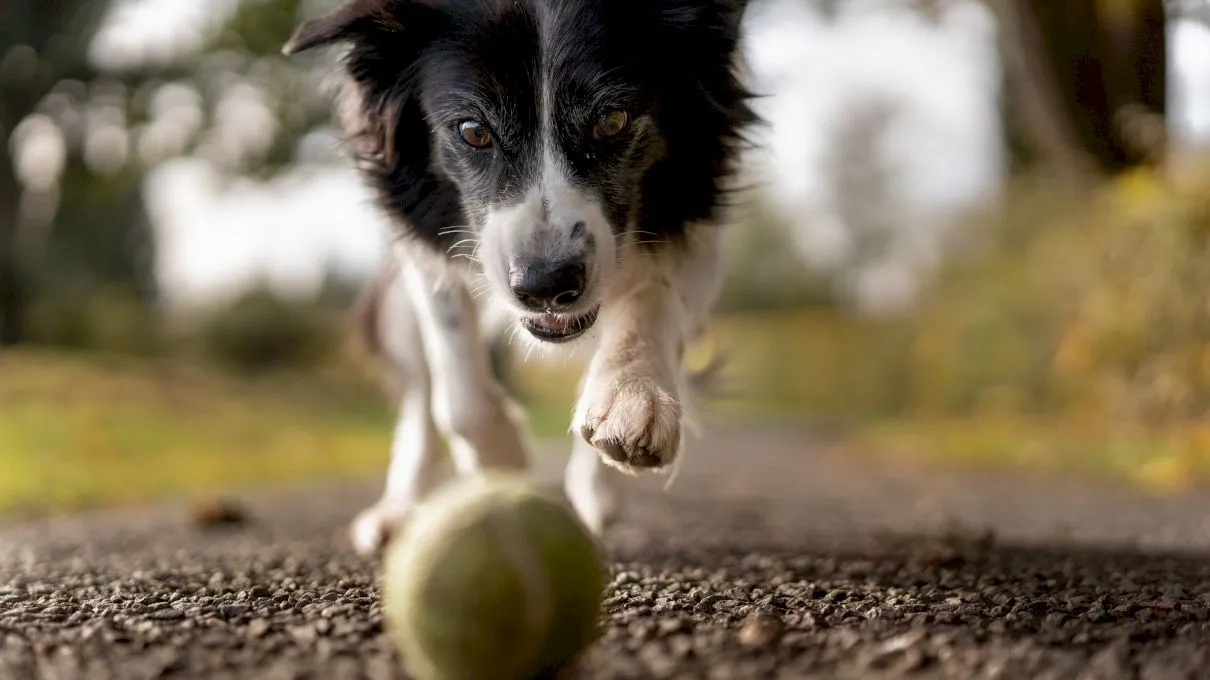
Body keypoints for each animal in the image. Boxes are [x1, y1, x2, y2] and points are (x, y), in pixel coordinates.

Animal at [283, 0, 755, 554]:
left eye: (612, 120)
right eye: (473, 131)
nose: (546, 286)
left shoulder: (698, 218)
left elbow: (651, 301)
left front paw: (631, 398)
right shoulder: (423, 245)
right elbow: (457, 391)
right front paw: (503, 466)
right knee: (420, 397)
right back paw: (398, 512)